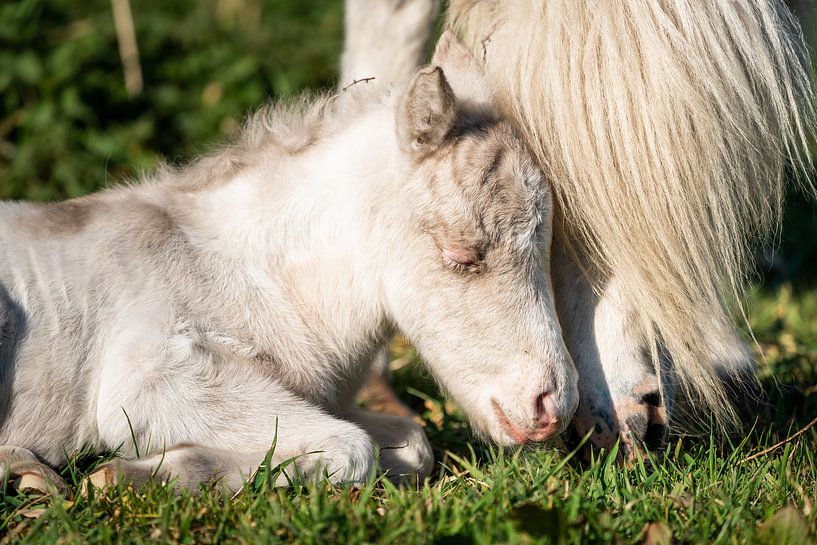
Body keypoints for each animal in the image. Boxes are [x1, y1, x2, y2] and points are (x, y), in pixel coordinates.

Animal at [0, 36, 576, 490]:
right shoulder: (150, 372)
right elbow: (352, 448)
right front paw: (131, 476)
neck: (244, 272)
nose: (552, 407)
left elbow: (413, 443)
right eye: (461, 253)